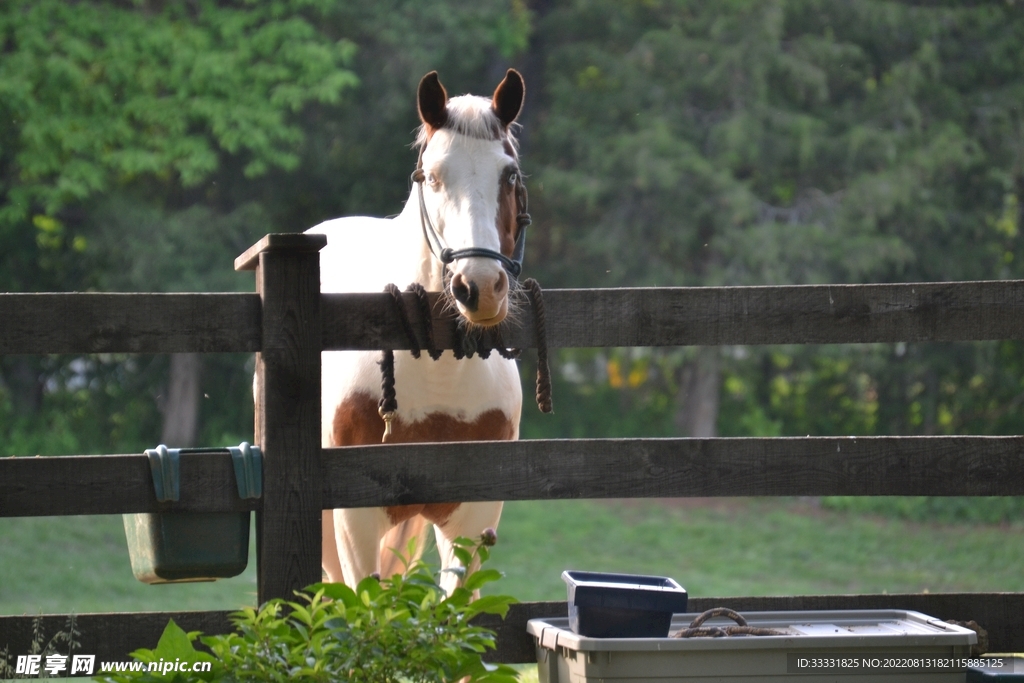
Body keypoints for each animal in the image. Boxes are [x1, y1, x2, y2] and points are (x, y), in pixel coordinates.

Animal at [307, 69, 528, 593]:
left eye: (509, 175)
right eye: (433, 176)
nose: (479, 287)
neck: (438, 376)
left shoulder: (474, 517)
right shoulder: (354, 522)